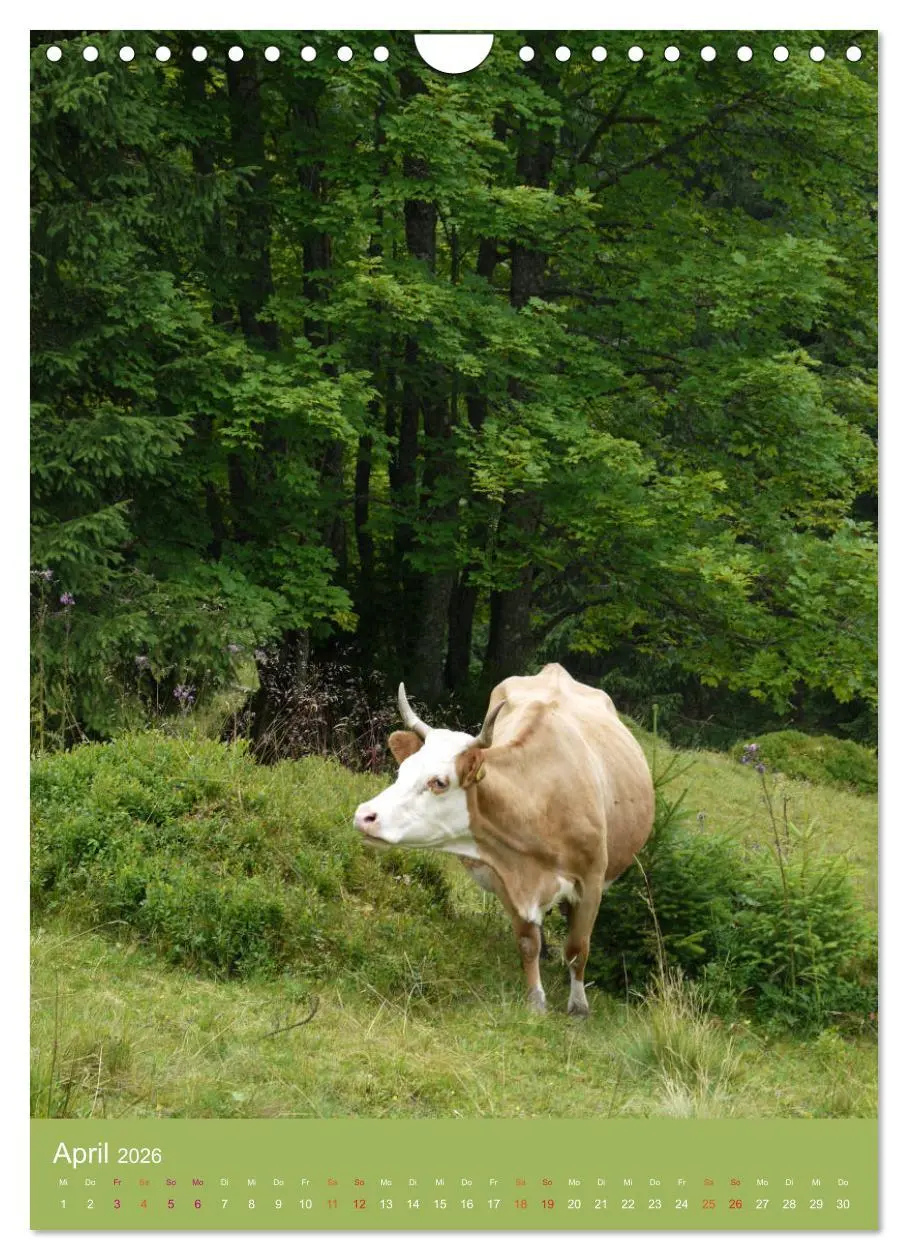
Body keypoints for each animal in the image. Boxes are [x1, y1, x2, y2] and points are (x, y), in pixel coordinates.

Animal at [353, 663, 655, 1016]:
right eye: (403, 771)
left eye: (439, 782)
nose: (364, 815)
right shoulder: (504, 873)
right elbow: (527, 942)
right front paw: (536, 1000)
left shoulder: (592, 881)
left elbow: (578, 948)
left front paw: (578, 1006)